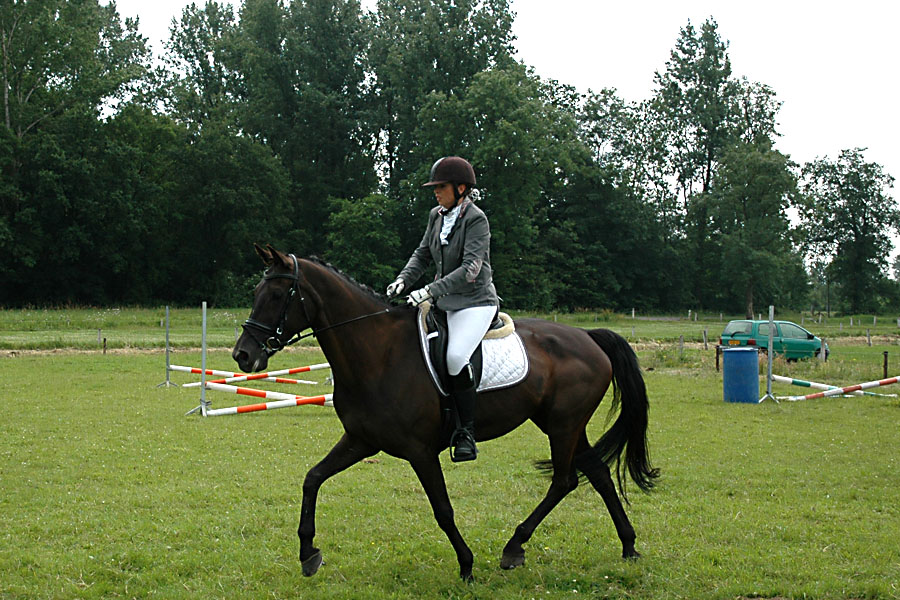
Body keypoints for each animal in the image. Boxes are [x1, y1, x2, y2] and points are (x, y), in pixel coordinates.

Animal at [232, 244, 658, 581]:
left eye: (277, 295)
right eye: (256, 291)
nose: (243, 355)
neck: (377, 353)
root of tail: (588, 336)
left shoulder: (419, 451)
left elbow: (442, 509)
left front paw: (466, 564)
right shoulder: (361, 440)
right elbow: (312, 479)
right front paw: (308, 554)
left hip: (563, 424)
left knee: (565, 480)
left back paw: (514, 546)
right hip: (563, 423)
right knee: (598, 474)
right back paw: (628, 546)